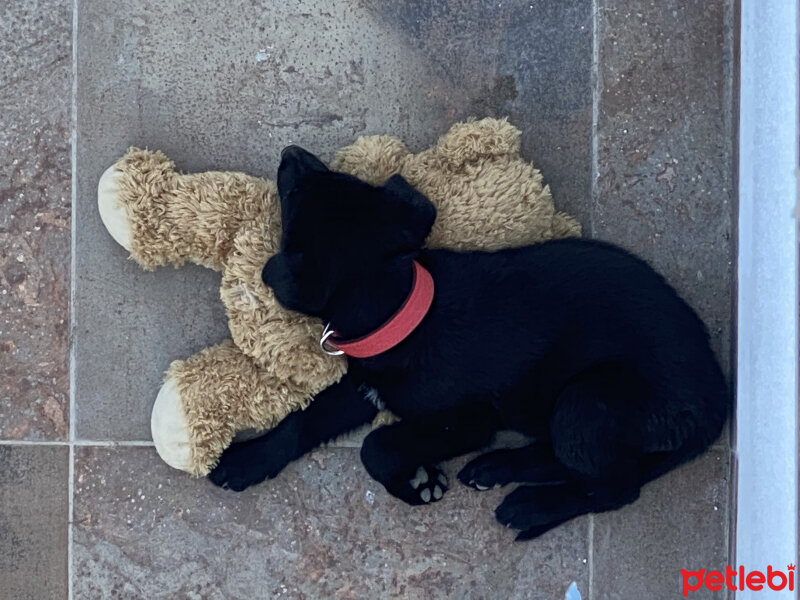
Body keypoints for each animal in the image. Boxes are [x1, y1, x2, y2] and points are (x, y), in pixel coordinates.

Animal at [208, 144, 732, 540]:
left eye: (294, 197)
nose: (291, 152)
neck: (402, 309)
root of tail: (716, 400)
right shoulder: (367, 384)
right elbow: (305, 420)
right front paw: (249, 460)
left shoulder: (469, 418)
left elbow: (374, 445)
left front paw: (416, 482)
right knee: (574, 460)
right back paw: (498, 466)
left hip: (587, 400)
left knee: (615, 487)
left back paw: (530, 504)